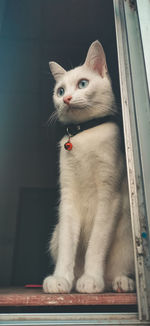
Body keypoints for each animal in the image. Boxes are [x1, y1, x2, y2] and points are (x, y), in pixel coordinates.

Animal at [42, 40, 135, 292]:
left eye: (82, 84)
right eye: (60, 91)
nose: (66, 99)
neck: (84, 134)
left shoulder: (109, 197)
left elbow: (96, 244)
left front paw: (91, 279)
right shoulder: (68, 197)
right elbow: (68, 245)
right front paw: (61, 279)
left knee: (116, 271)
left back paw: (121, 281)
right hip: (54, 234)